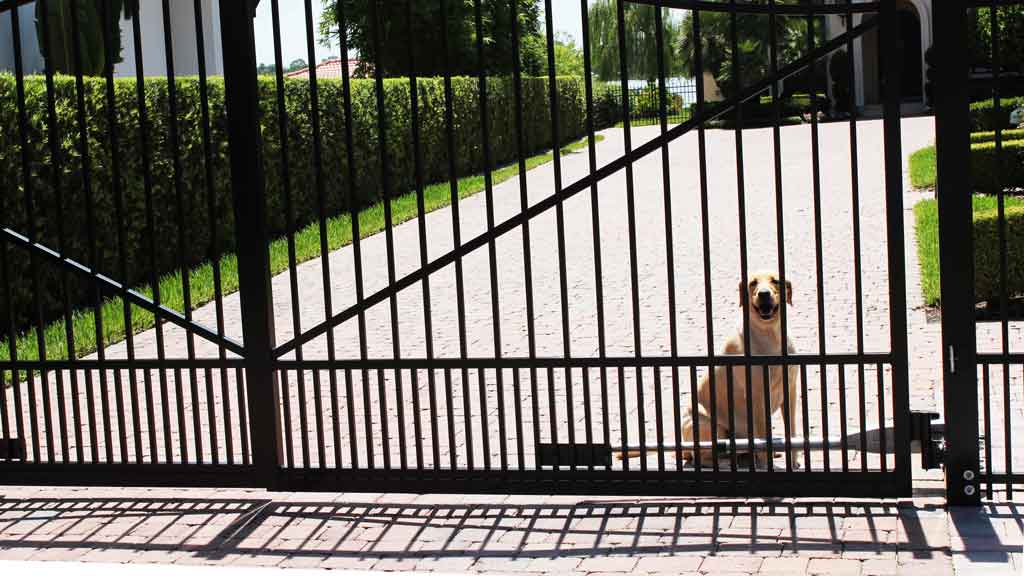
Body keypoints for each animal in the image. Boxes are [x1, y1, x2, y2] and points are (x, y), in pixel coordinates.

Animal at [684, 270, 802, 463]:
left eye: (775, 281)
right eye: (752, 283)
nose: (764, 294)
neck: (771, 334)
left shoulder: (790, 390)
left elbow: (791, 430)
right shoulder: (758, 396)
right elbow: (763, 434)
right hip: (707, 423)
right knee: (705, 455)